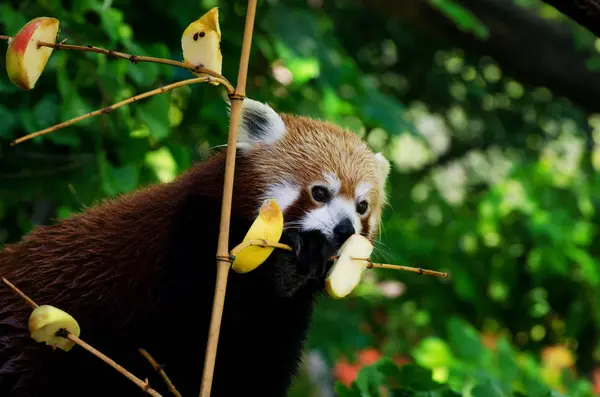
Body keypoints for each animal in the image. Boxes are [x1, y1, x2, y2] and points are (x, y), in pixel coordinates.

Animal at [0, 98, 392, 396]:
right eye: (319, 192)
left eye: (362, 207)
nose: (345, 230)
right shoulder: (187, 242)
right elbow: (183, 325)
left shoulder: (279, 321)